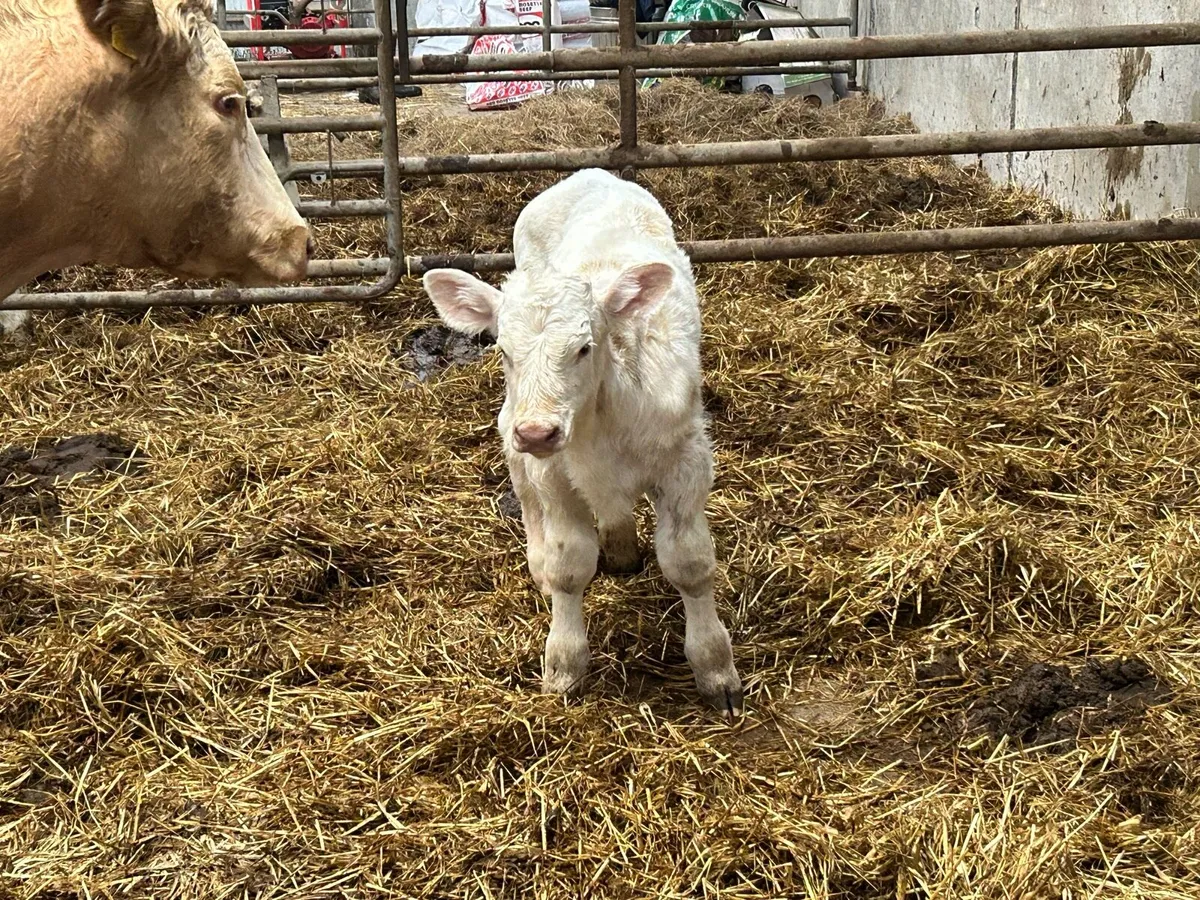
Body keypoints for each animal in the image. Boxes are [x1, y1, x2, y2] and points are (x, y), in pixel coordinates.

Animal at [422, 169, 744, 717]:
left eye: (583, 347)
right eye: (502, 349)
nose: (538, 432)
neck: (599, 424)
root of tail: (590, 173)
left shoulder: (686, 460)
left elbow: (690, 563)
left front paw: (716, 669)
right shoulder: (552, 473)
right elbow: (569, 566)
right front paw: (564, 666)